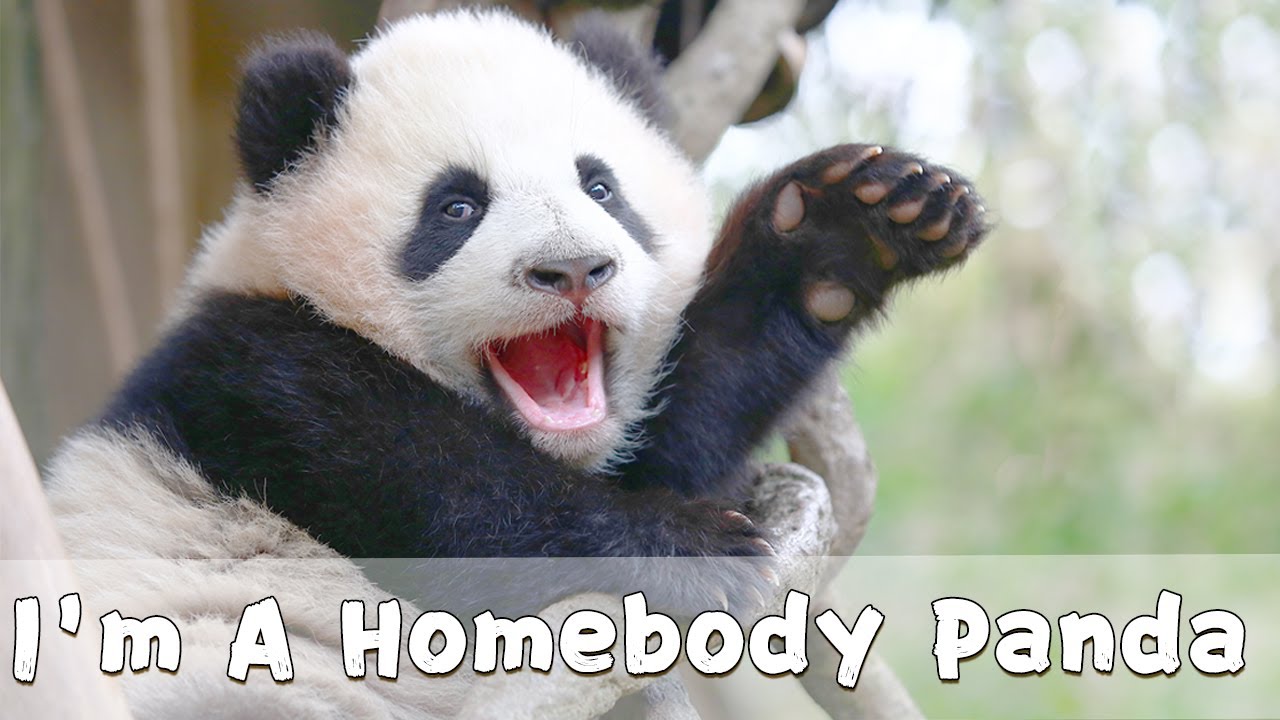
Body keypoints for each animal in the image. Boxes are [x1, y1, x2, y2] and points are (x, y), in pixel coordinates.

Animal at [42, 8, 986, 715]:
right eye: (457, 207)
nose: (573, 269)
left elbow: (689, 425)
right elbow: (438, 488)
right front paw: (695, 551)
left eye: (601, 187)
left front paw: (853, 226)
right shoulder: (253, 375)